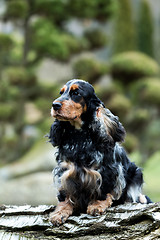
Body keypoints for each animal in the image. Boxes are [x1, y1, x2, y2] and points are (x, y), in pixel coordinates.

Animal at [48, 79, 151, 226]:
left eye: (76, 93)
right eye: (61, 93)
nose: (55, 105)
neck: (79, 136)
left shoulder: (107, 169)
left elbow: (104, 188)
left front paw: (97, 205)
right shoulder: (65, 171)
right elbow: (65, 194)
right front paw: (60, 212)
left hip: (136, 173)